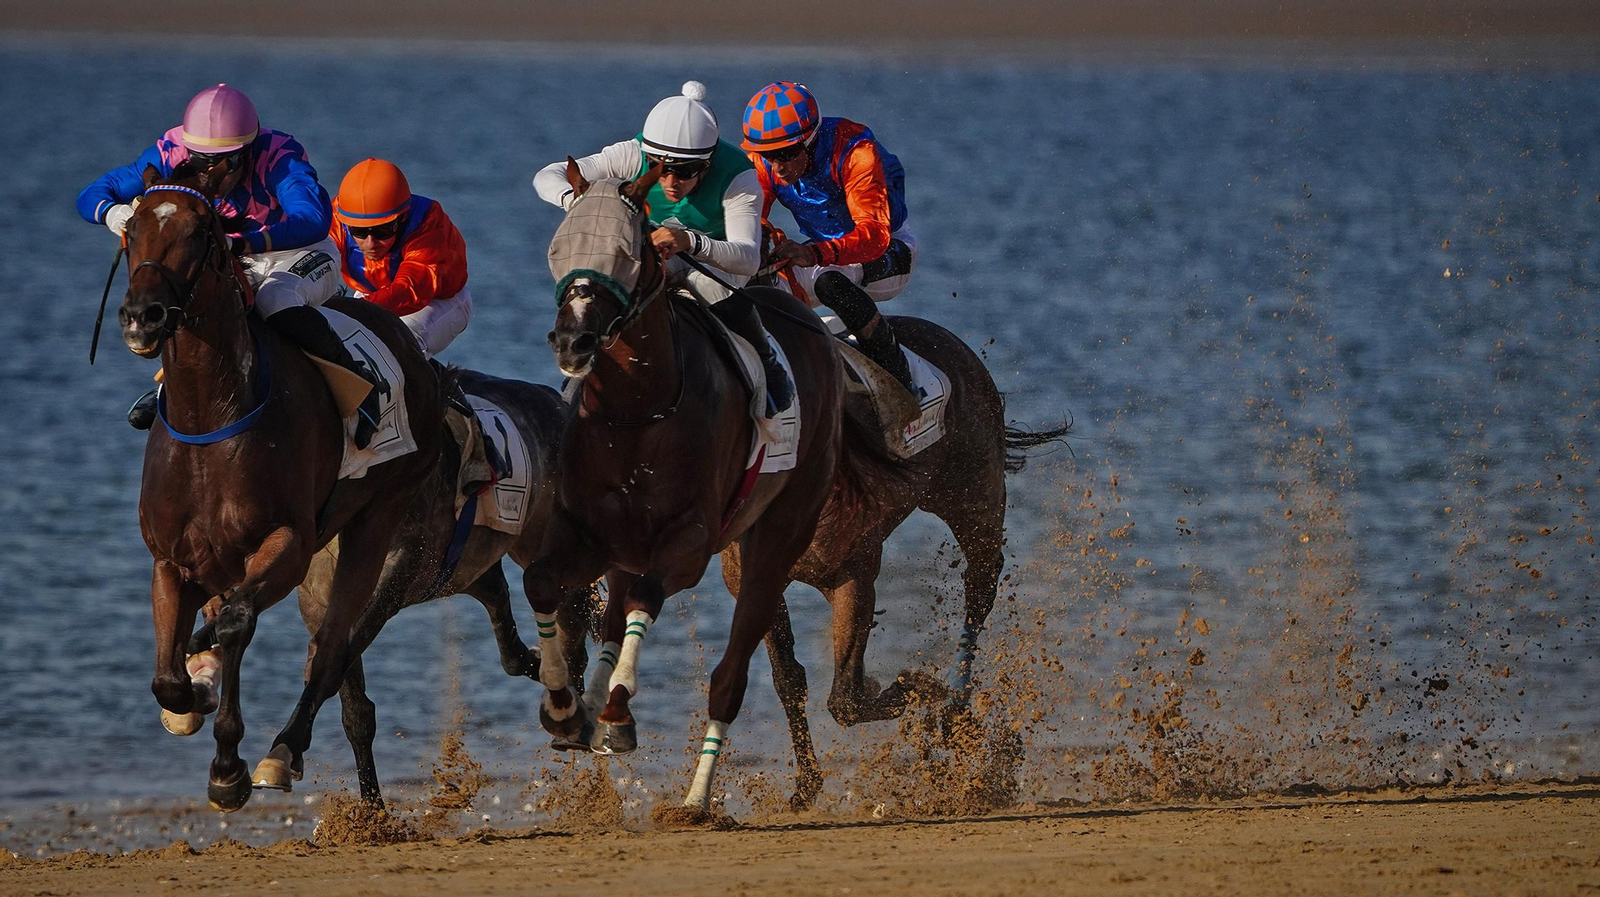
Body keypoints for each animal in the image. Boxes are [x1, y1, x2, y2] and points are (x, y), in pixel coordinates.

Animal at [118, 161, 442, 811]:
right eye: (132, 229)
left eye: (200, 230)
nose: (144, 315)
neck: (211, 419)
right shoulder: (171, 559)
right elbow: (167, 678)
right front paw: (193, 691)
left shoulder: (289, 544)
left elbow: (237, 623)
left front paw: (228, 767)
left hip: (377, 516)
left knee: (332, 650)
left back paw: (281, 751)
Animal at [520, 163, 874, 813]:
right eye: (558, 249)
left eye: (628, 253)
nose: (572, 343)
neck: (639, 413)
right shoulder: (588, 532)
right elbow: (541, 583)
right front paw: (564, 708)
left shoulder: (690, 542)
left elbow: (645, 600)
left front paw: (614, 713)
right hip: (628, 545)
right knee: (615, 613)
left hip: (774, 540)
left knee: (730, 677)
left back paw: (695, 798)